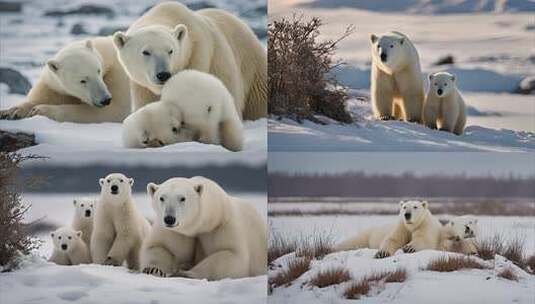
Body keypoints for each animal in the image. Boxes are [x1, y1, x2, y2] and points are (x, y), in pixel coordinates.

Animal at [0, 37, 131, 123]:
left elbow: (115, 110)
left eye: (98, 71)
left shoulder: (118, 73)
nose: (105, 99)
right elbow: (41, 97)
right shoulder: (53, 85)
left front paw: (40, 110)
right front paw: (11, 112)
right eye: (82, 80)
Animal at [113, 1, 268, 120]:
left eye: (170, 51)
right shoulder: (142, 87)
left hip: (252, 68)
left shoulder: (198, 56)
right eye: (146, 52)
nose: (163, 74)